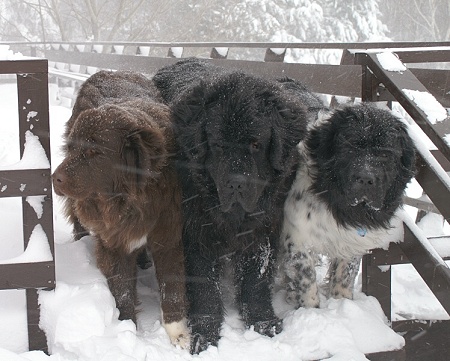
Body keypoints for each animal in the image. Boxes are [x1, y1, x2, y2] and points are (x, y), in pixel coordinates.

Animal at [52, 70, 190, 346]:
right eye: (72, 149)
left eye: (94, 152)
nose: (54, 178)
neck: (132, 197)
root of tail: (111, 72)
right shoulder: (114, 241)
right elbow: (122, 290)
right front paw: (125, 329)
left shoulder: (169, 234)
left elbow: (172, 287)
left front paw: (178, 334)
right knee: (79, 223)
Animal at [153, 58, 308, 352]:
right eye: (217, 144)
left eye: (257, 143)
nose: (237, 183)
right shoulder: (197, 233)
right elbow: (204, 287)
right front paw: (205, 334)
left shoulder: (263, 230)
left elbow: (256, 280)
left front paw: (262, 321)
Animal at [280, 80, 416, 308]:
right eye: (350, 148)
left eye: (385, 154)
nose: (365, 178)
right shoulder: (297, 237)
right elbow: (307, 281)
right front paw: (312, 309)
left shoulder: (352, 239)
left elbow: (344, 276)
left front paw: (342, 303)